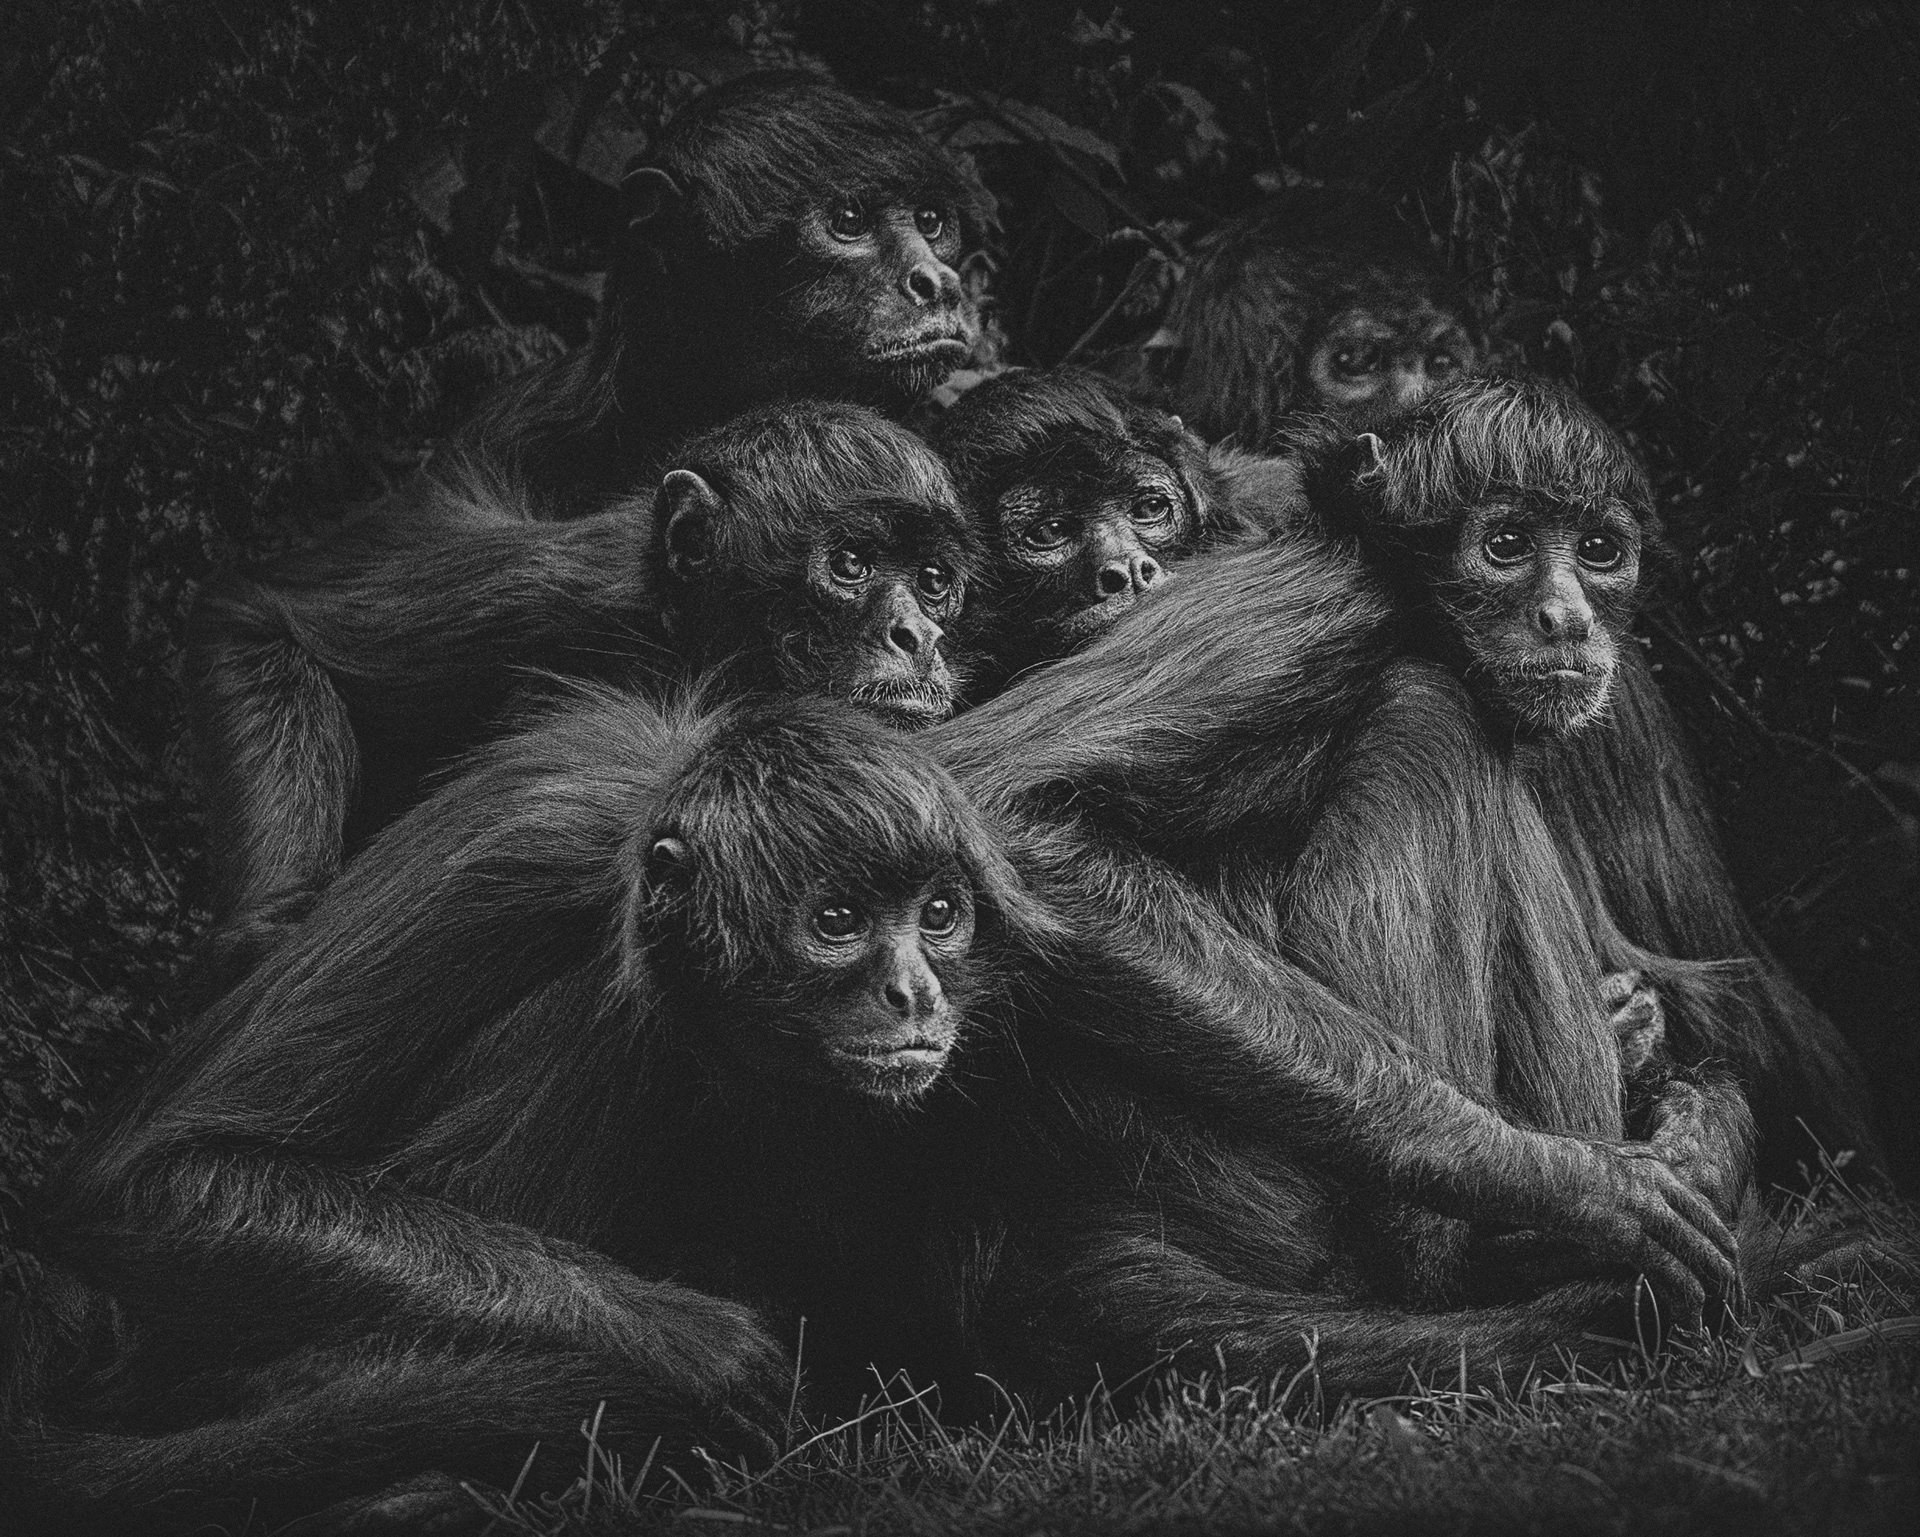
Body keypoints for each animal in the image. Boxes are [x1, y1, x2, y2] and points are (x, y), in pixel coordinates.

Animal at [0, 689, 1058, 1533]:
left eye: (938, 915)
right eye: (838, 922)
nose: (915, 995)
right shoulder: (523, 843)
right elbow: (149, 1183)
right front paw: (692, 1346)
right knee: (613, 1015)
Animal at [187, 401, 981, 979]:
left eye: (932, 580)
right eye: (851, 563)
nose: (916, 634)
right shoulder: (556, 586)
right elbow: (259, 616)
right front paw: (268, 931)